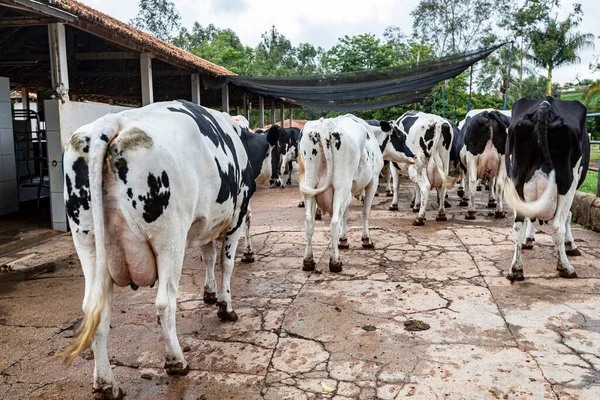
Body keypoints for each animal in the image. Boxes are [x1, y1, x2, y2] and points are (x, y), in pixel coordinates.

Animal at [59, 100, 278, 396]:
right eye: (274, 153)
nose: (277, 180)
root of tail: (113, 121)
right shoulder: (236, 216)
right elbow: (226, 264)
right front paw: (225, 306)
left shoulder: (207, 223)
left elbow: (208, 257)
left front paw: (209, 293)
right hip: (170, 240)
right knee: (165, 304)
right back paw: (176, 361)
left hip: (88, 244)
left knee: (96, 311)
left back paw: (105, 382)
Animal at [298, 114, 412, 274]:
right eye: (402, 136)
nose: (413, 155)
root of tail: (327, 125)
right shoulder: (373, 181)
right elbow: (365, 212)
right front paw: (366, 239)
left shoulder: (350, 190)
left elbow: (345, 214)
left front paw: (343, 240)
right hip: (341, 186)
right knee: (334, 222)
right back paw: (335, 262)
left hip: (311, 184)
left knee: (309, 221)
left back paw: (308, 261)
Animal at [504, 96, 588, 282]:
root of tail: (544, 106)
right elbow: (568, 216)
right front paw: (571, 246)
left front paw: (528, 240)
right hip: (567, 182)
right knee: (557, 225)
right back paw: (566, 268)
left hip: (516, 176)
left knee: (518, 224)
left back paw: (516, 269)